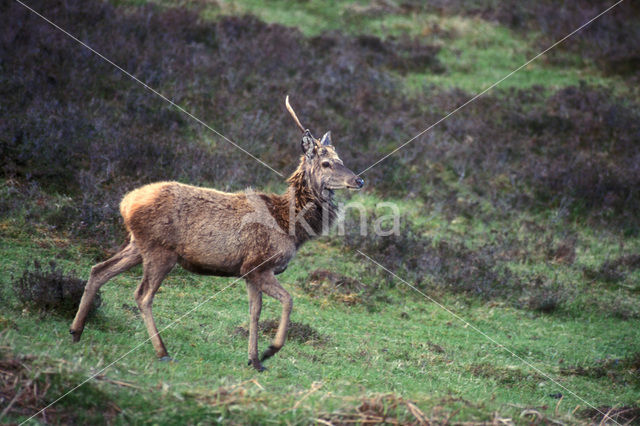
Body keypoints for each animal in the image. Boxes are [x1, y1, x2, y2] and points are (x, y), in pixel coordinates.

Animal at [70, 98, 364, 372]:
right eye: (326, 163)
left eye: (341, 160)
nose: (359, 180)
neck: (289, 225)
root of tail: (126, 202)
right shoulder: (259, 264)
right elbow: (289, 300)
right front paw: (270, 350)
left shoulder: (248, 272)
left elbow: (255, 313)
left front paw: (254, 360)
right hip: (160, 250)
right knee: (142, 295)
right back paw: (162, 351)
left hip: (137, 245)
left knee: (99, 270)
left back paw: (76, 331)